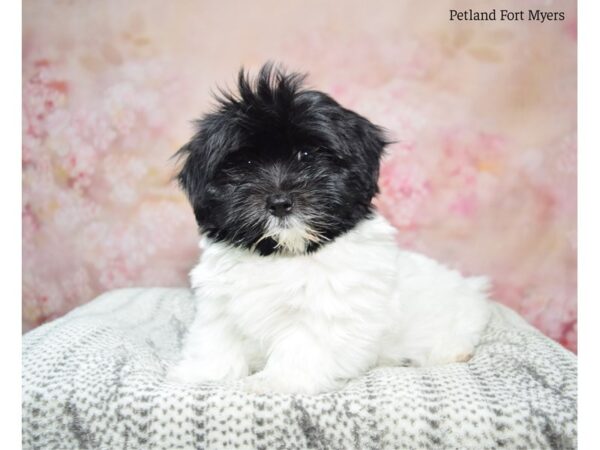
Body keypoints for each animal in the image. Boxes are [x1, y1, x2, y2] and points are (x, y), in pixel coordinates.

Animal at [166, 64, 490, 394]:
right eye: (245, 164)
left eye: (307, 156)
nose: (279, 202)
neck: (282, 254)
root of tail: (471, 289)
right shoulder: (219, 305)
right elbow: (217, 338)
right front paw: (203, 372)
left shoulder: (328, 312)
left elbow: (302, 344)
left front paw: (277, 380)